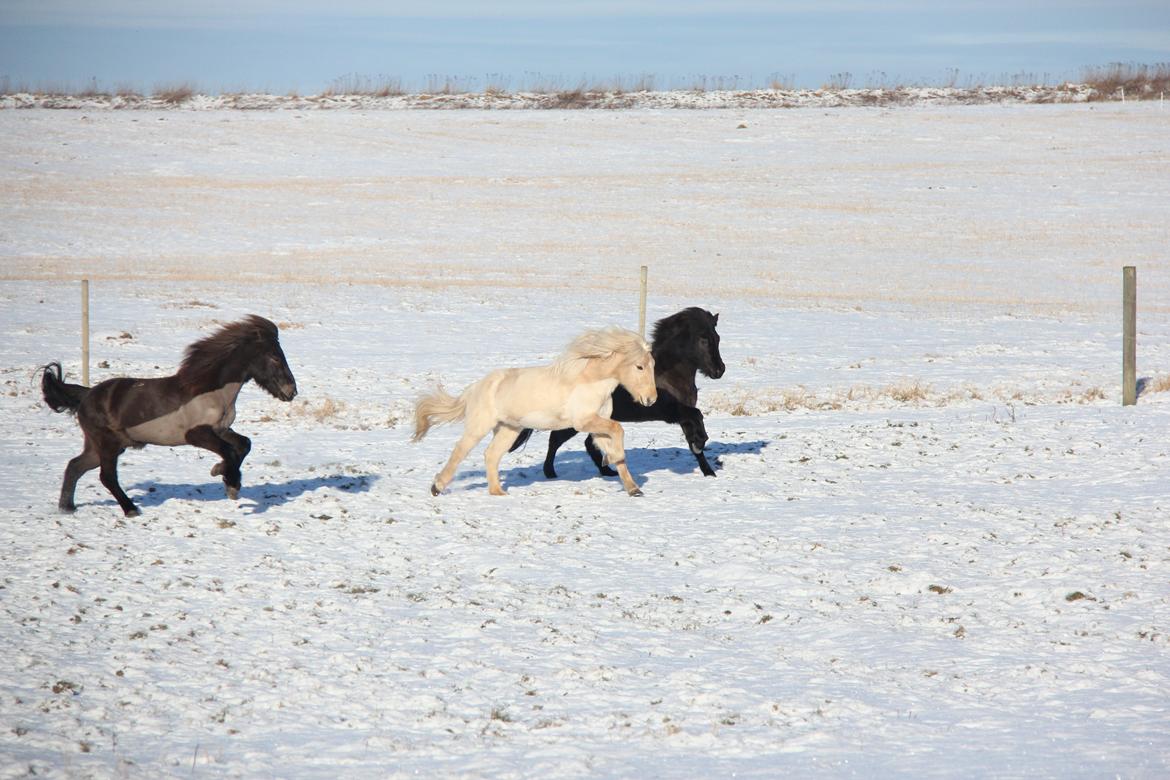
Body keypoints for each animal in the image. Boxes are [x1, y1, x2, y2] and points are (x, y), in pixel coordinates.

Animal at [41, 313, 297, 514]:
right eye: (275, 357)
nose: (292, 391)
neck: (211, 391)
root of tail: (87, 394)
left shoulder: (221, 429)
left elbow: (243, 445)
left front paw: (221, 473)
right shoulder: (197, 434)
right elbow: (229, 451)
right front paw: (230, 483)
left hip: (103, 445)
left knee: (75, 466)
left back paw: (67, 508)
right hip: (107, 444)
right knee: (106, 476)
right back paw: (131, 509)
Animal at [416, 327, 659, 498]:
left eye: (653, 365)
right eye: (639, 367)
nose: (651, 399)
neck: (590, 382)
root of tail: (476, 387)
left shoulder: (597, 425)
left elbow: (614, 441)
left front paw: (633, 488)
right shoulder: (583, 422)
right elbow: (618, 429)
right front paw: (614, 459)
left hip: (509, 429)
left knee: (491, 455)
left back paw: (498, 492)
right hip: (480, 426)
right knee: (460, 451)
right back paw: (436, 487)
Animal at [512, 308, 720, 479]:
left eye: (717, 338)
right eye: (703, 339)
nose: (719, 371)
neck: (668, 374)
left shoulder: (684, 415)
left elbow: (694, 433)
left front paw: (707, 468)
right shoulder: (670, 411)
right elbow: (697, 416)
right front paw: (702, 443)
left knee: (587, 444)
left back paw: (607, 472)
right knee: (556, 440)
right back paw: (550, 473)